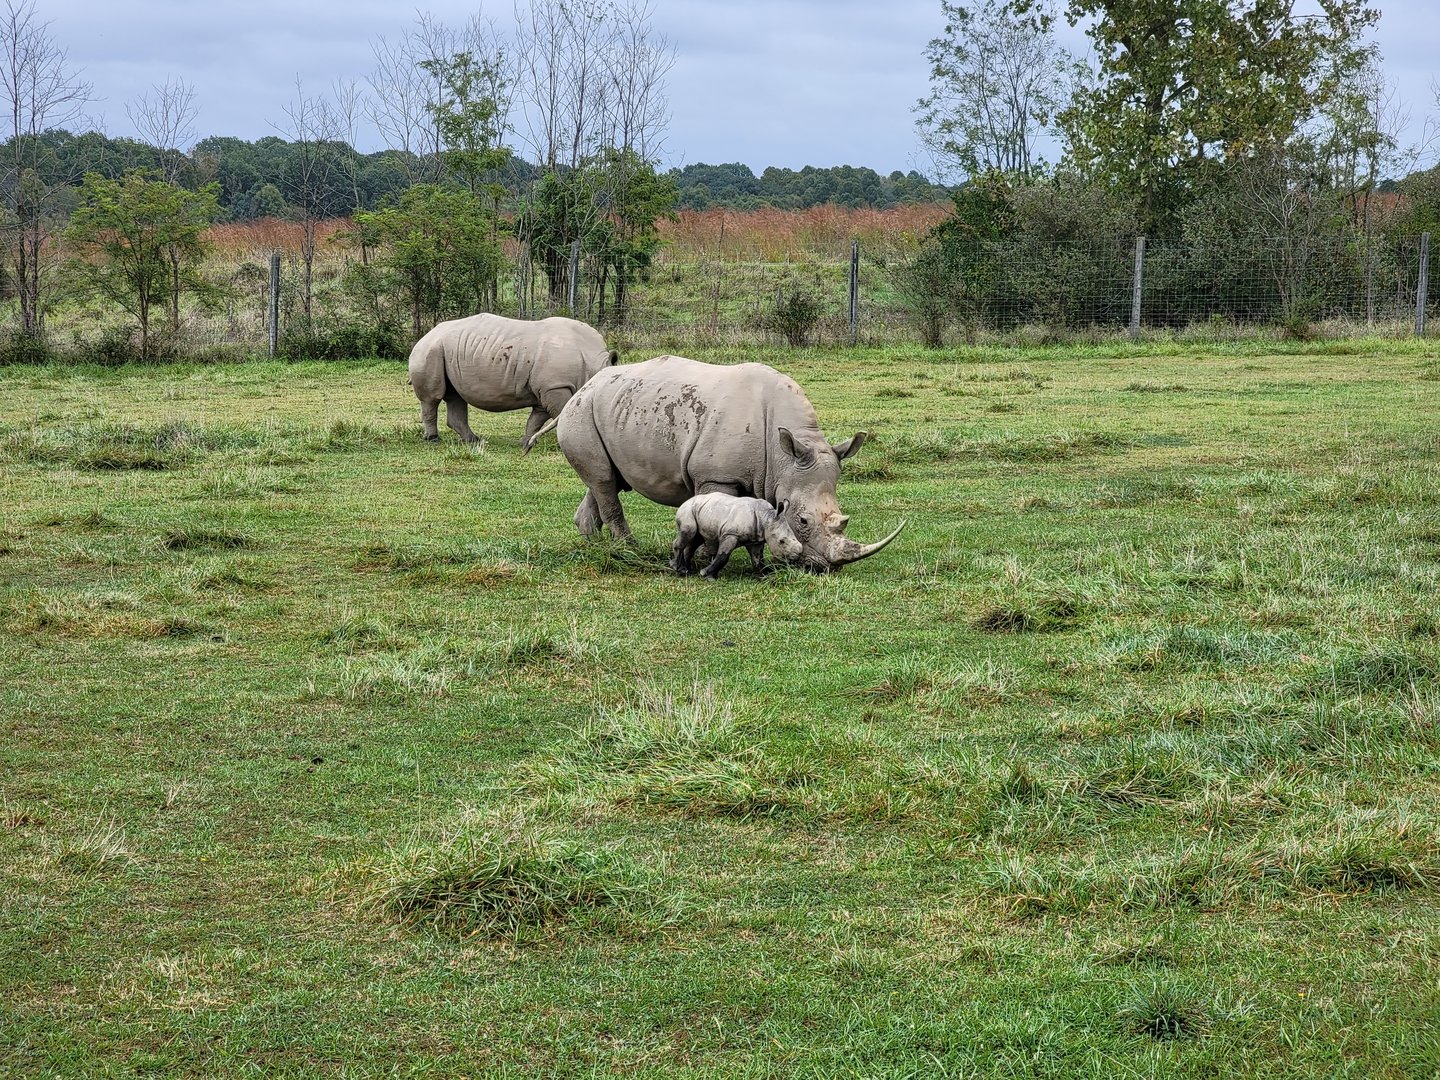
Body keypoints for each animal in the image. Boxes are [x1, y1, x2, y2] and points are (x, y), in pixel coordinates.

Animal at [408, 313, 617, 445]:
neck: (595, 365)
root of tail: (424, 336)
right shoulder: (555, 386)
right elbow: (559, 413)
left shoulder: (545, 390)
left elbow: (536, 418)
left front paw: (526, 441)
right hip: (430, 350)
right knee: (432, 398)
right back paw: (433, 439)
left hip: (445, 351)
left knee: (456, 396)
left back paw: (473, 440)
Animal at [671, 493, 804, 579]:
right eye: (781, 541)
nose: (795, 558)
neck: (766, 518)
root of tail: (686, 501)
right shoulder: (730, 534)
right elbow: (723, 556)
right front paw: (706, 575)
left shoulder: (755, 540)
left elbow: (757, 558)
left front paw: (763, 576)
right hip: (687, 510)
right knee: (689, 532)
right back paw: (678, 568)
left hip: (700, 510)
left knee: (696, 539)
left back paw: (687, 570)